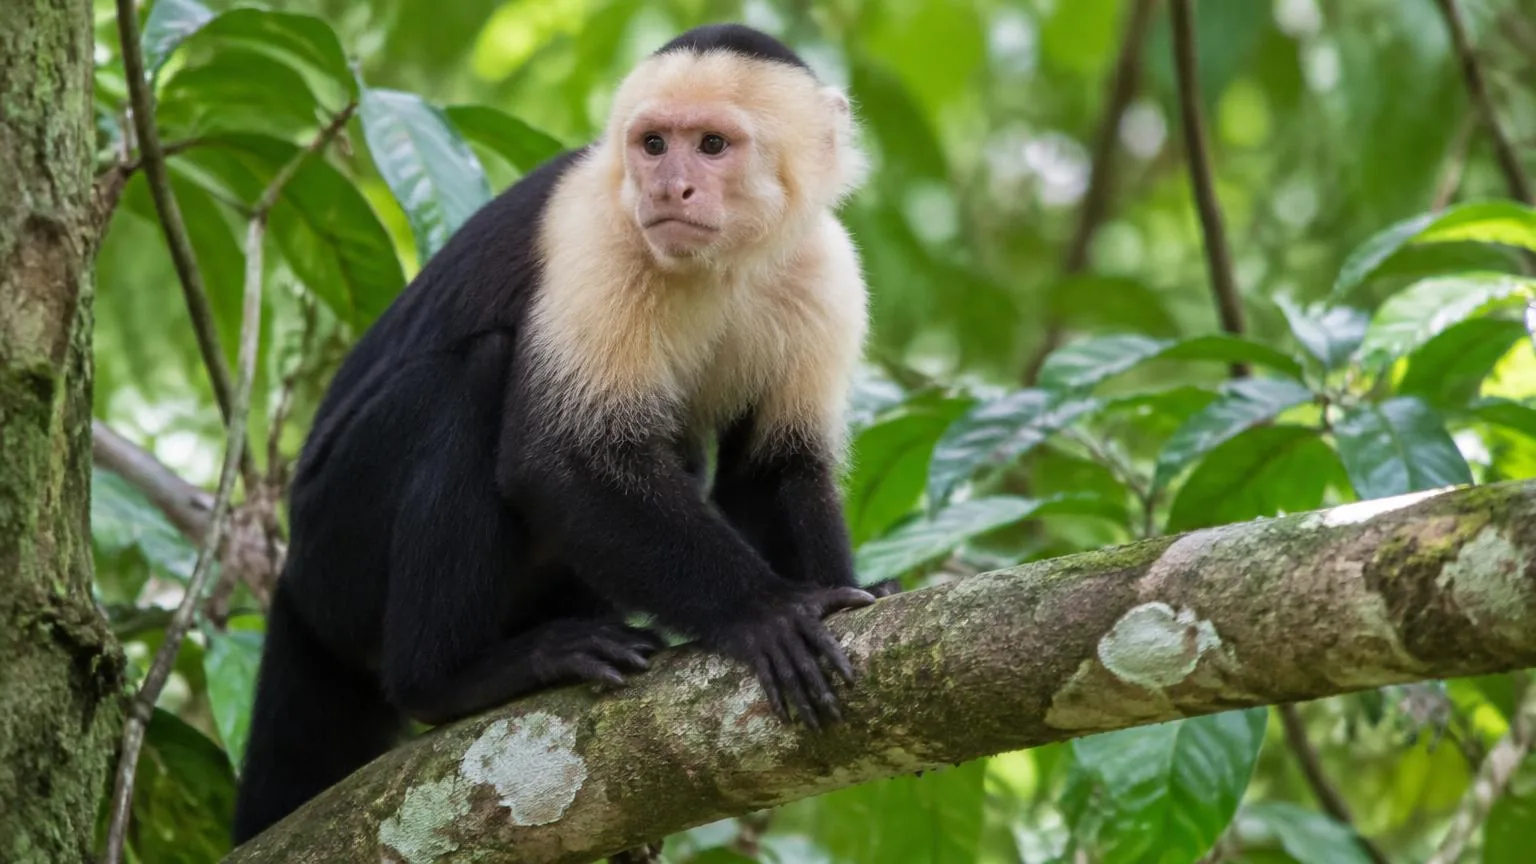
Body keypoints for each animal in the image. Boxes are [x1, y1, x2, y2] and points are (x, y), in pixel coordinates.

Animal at [231, 22, 891, 847]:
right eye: (652, 145)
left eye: (712, 145)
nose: (667, 189)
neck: (726, 263)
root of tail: (293, 575)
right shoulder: (598, 236)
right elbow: (560, 459)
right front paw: (763, 610)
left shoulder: (822, 269)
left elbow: (773, 468)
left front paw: (845, 592)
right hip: (336, 549)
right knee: (472, 377)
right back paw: (451, 679)